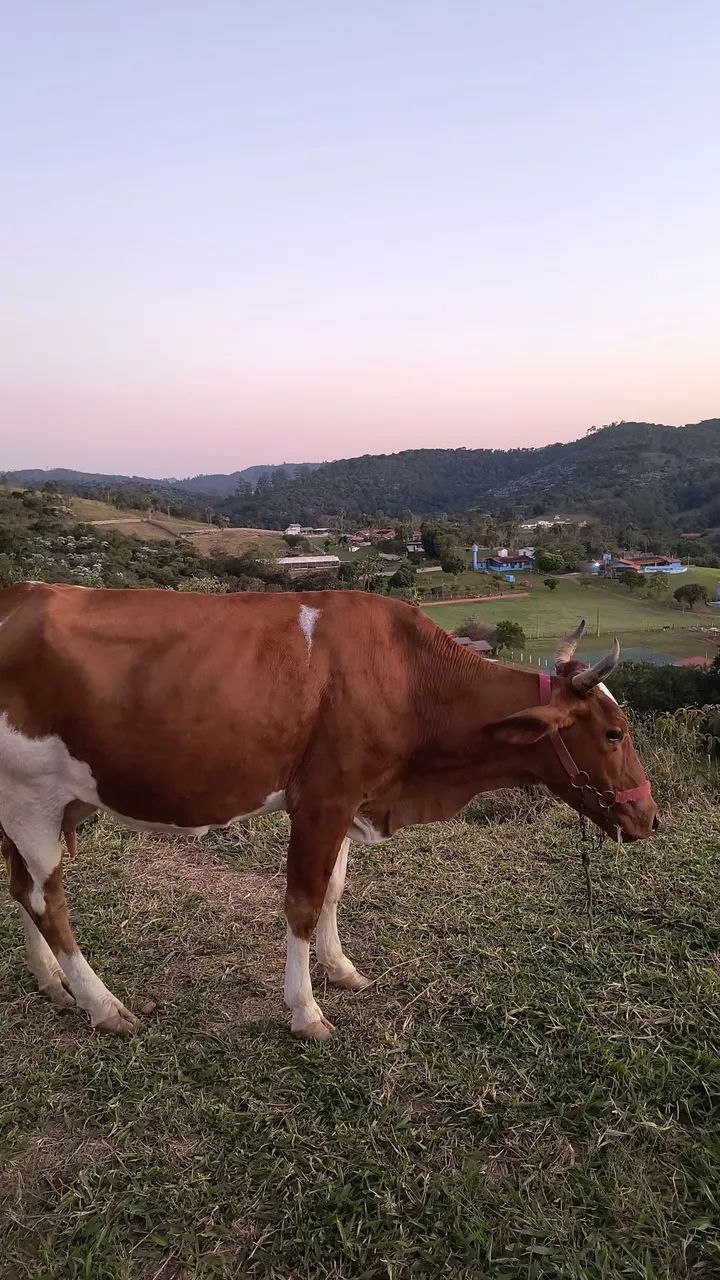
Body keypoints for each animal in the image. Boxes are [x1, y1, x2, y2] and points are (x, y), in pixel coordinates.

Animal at [0, 582, 657, 1040]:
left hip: (40, 803)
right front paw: (306, 1009)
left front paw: (340, 967)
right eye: (614, 733)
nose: (650, 818)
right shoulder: (321, 797)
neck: (409, 678)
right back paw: (102, 1004)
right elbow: (303, 900)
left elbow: (336, 888)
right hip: (32, 796)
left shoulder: (352, 797)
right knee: (47, 898)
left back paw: (50, 981)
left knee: (19, 887)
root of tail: (21, 594)